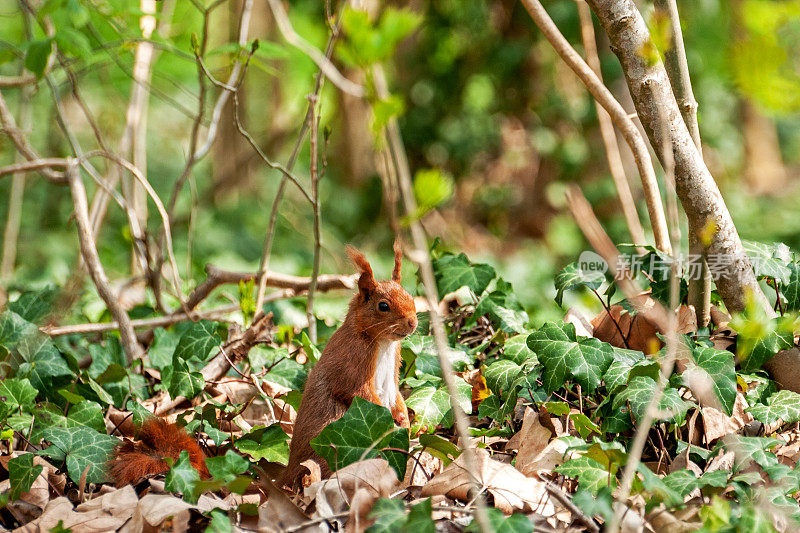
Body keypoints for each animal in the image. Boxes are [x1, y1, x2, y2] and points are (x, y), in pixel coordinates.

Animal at [280, 243, 418, 488]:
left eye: (410, 296)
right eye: (383, 305)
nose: (413, 322)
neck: (383, 343)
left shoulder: (394, 368)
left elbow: (396, 395)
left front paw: (404, 420)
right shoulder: (352, 361)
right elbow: (357, 392)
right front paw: (389, 420)